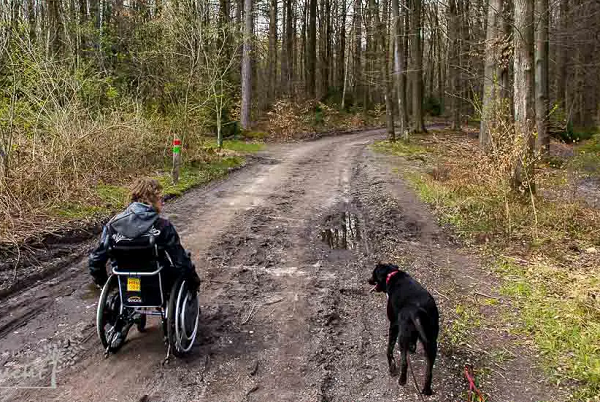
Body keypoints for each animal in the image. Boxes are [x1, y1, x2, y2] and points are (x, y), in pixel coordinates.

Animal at [368, 262, 438, 394]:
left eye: (373, 273)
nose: (368, 280)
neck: (391, 275)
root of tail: (416, 310)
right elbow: (413, 342)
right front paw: (412, 348)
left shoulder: (394, 325)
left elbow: (389, 350)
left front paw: (392, 367)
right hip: (432, 341)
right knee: (429, 371)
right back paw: (426, 390)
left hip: (402, 337)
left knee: (405, 362)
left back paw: (402, 380)